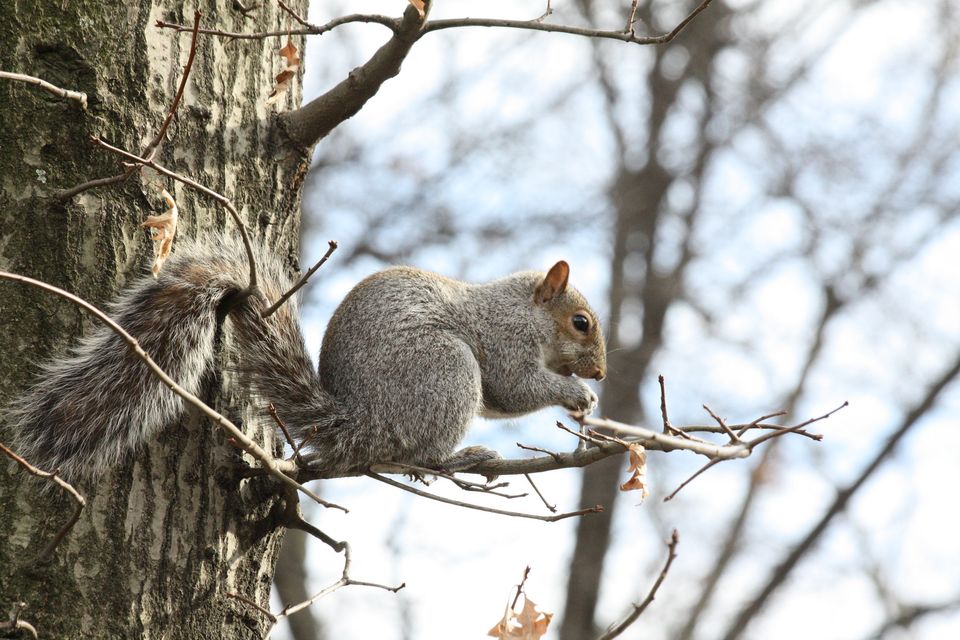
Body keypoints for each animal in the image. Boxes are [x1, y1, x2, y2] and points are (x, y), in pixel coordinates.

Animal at [5, 230, 608, 480]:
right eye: (581, 323)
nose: (601, 371)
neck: (524, 312)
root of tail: (362, 424)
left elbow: (504, 400)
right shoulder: (503, 341)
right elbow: (513, 388)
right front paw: (575, 393)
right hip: (447, 370)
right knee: (421, 454)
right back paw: (459, 458)